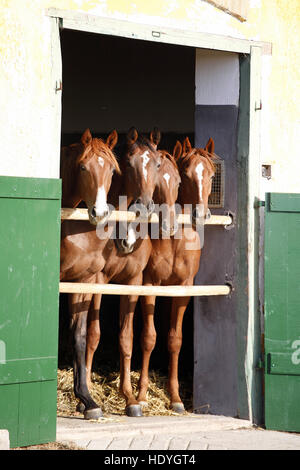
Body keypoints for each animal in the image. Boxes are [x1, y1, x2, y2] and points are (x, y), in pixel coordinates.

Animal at [137, 138, 214, 414]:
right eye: (187, 175)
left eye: (211, 175)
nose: (201, 214)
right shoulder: (149, 284)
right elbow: (148, 338)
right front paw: (141, 397)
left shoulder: (183, 289)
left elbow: (175, 340)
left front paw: (176, 398)